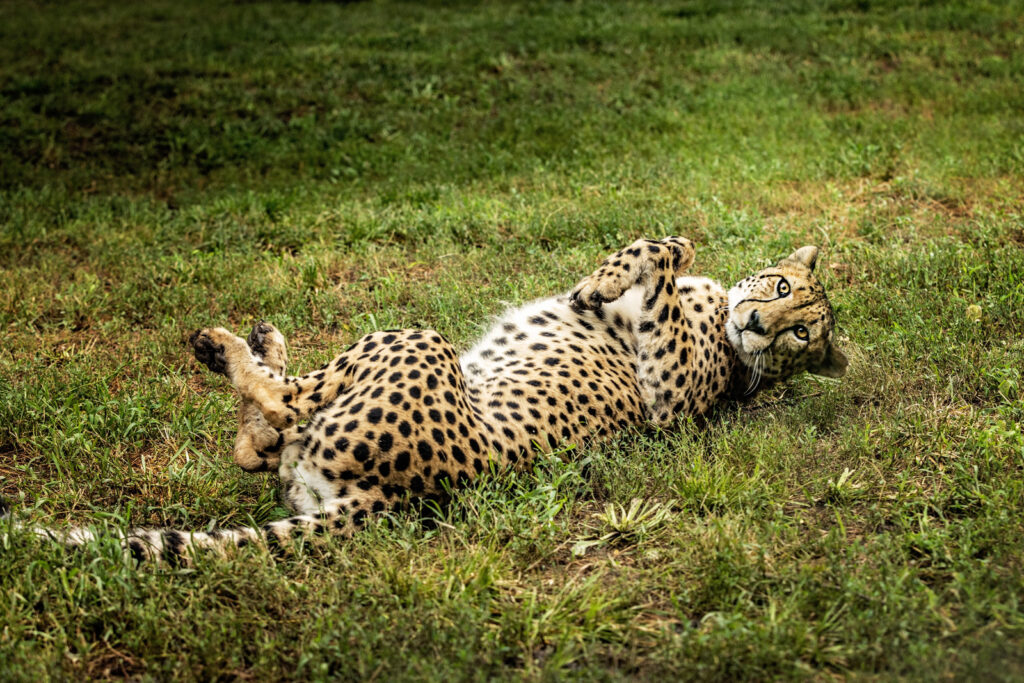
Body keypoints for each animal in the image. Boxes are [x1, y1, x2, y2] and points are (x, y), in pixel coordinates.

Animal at [4, 237, 846, 564]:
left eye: (804, 335)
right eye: (782, 289)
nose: (760, 323)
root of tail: (404, 495)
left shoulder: (667, 402)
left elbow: (666, 251)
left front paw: (610, 277)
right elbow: (669, 246)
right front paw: (606, 278)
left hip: (414, 340)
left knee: (280, 409)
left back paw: (225, 348)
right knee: (268, 439)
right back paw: (260, 340)